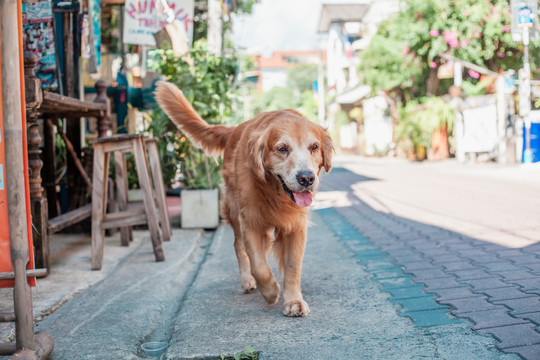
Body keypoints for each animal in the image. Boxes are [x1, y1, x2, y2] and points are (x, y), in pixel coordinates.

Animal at [155, 81, 334, 316]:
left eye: (314, 147)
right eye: (282, 149)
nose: (306, 178)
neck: (274, 192)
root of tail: (233, 129)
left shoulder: (296, 225)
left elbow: (292, 266)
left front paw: (293, 300)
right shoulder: (251, 221)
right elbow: (259, 266)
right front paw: (271, 291)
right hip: (233, 210)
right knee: (239, 246)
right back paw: (247, 280)